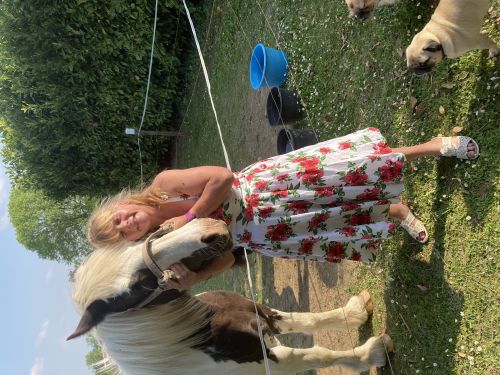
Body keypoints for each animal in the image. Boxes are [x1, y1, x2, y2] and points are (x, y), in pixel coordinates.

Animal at [68, 219, 392, 374]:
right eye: (137, 287)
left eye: (131, 243)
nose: (208, 230)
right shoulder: (272, 361)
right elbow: (319, 354)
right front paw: (372, 353)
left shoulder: (261, 313)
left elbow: (306, 320)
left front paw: (355, 312)